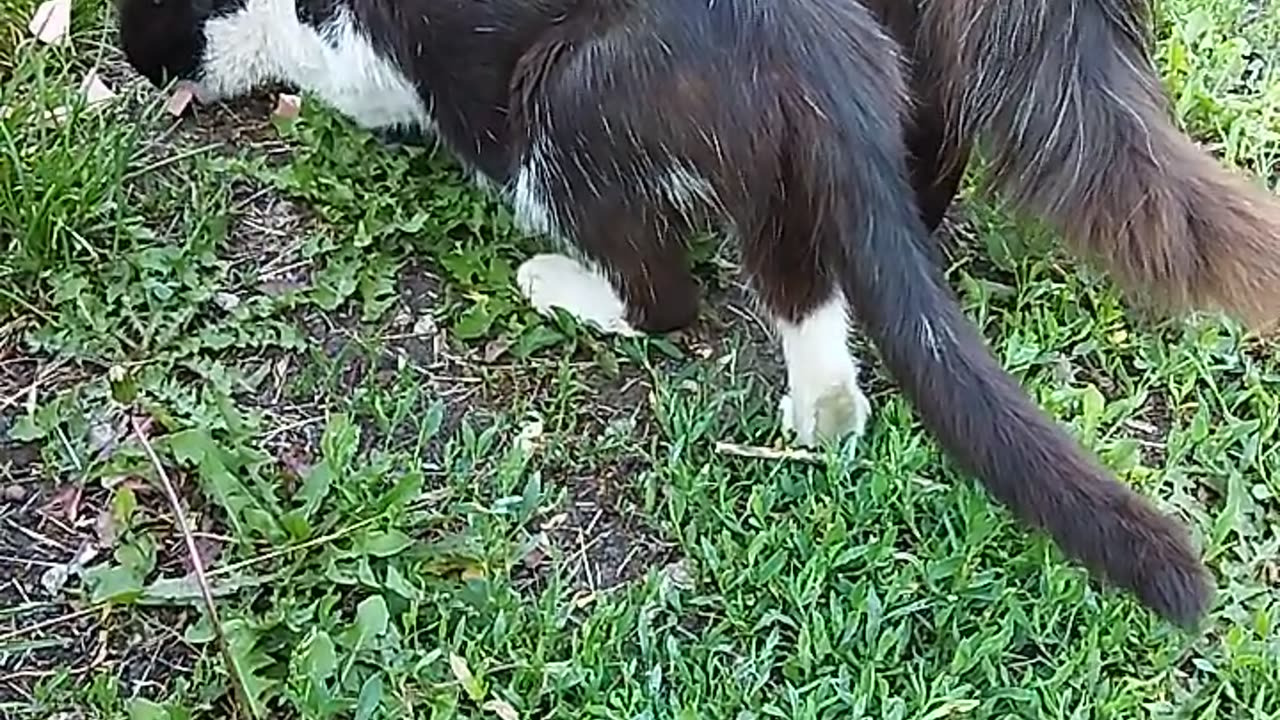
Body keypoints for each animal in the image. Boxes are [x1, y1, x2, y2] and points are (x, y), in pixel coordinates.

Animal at [117, 0, 1208, 622]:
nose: (131, 61)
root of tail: (816, 53)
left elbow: (360, 84)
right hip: (785, 161)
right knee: (807, 306)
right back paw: (816, 420)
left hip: (568, 103)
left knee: (666, 297)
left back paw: (560, 283)